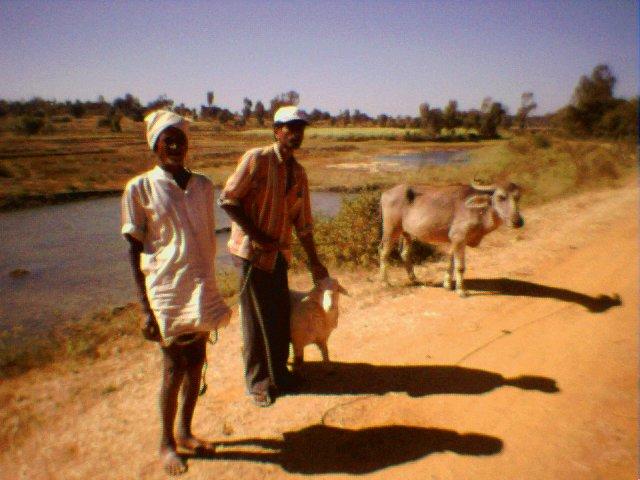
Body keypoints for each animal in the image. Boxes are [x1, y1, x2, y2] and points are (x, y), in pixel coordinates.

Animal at [378, 182, 524, 296]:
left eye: (517, 197)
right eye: (501, 197)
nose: (518, 221)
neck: (479, 211)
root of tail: (386, 193)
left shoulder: (454, 240)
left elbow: (450, 262)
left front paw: (447, 284)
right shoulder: (459, 238)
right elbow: (460, 266)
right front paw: (461, 290)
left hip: (407, 233)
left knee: (404, 253)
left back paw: (414, 279)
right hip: (391, 230)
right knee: (384, 252)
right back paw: (385, 282)